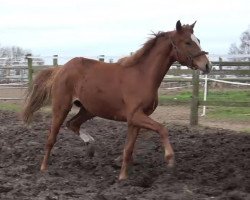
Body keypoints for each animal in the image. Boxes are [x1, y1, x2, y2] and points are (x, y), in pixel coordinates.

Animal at [21, 21, 210, 180]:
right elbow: (162, 129)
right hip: (61, 107)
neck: (142, 76)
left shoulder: (135, 120)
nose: (207, 65)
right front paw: (170, 159)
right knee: (51, 138)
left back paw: (91, 147)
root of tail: (61, 69)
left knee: (73, 124)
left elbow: (129, 148)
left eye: (198, 40)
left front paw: (123, 176)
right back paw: (44, 168)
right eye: (187, 42)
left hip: (89, 109)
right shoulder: (135, 116)